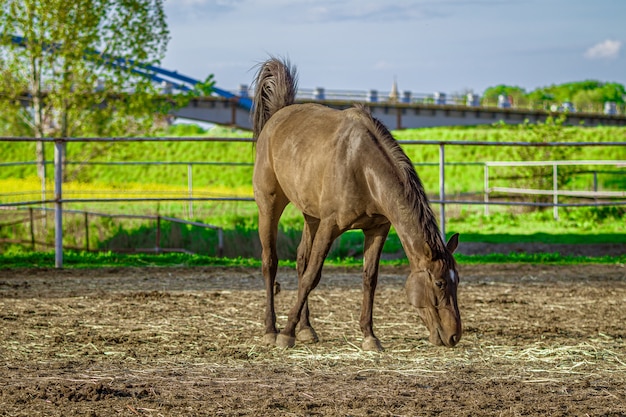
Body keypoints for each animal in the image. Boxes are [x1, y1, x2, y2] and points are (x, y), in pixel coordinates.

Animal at [251, 57, 460, 352]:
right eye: (440, 282)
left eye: (458, 280)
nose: (455, 336)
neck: (362, 167)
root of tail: (278, 115)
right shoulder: (330, 226)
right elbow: (313, 276)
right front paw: (286, 333)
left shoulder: (377, 229)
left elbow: (369, 279)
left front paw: (369, 336)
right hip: (270, 205)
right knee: (271, 262)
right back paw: (271, 330)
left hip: (311, 216)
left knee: (301, 261)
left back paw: (307, 329)